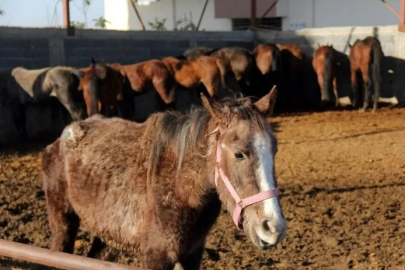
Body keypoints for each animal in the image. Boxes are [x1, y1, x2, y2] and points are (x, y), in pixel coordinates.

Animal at [42, 87, 286, 270]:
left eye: (275, 150)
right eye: (238, 154)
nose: (274, 229)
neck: (178, 188)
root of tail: (62, 137)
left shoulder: (191, 255)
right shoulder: (156, 257)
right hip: (63, 222)